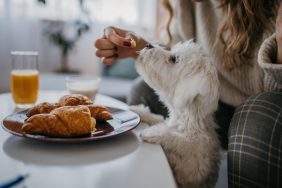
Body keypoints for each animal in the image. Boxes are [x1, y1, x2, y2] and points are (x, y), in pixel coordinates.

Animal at [131, 40, 221, 187]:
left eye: (174, 59)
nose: (148, 44)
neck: (186, 120)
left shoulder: (194, 165)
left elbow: (180, 140)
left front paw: (153, 132)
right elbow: (158, 118)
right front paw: (137, 111)